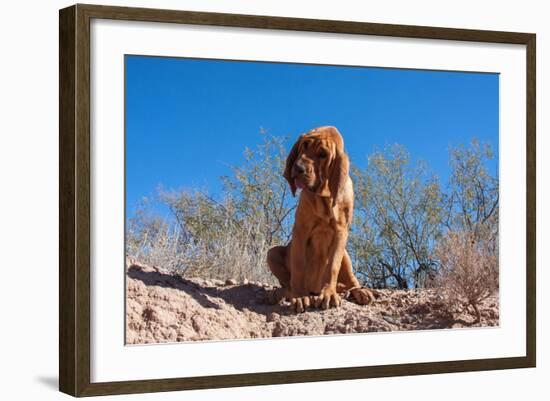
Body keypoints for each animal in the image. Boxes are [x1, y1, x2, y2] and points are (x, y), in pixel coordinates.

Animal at [266, 126, 376, 312]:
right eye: (304, 146)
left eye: (323, 154)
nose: (298, 168)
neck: (324, 196)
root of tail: (314, 289)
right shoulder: (301, 230)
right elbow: (298, 265)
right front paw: (299, 296)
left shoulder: (341, 233)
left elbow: (332, 266)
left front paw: (329, 294)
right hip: (272, 253)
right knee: (286, 284)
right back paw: (282, 293)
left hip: (346, 254)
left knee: (350, 282)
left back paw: (360, 291)